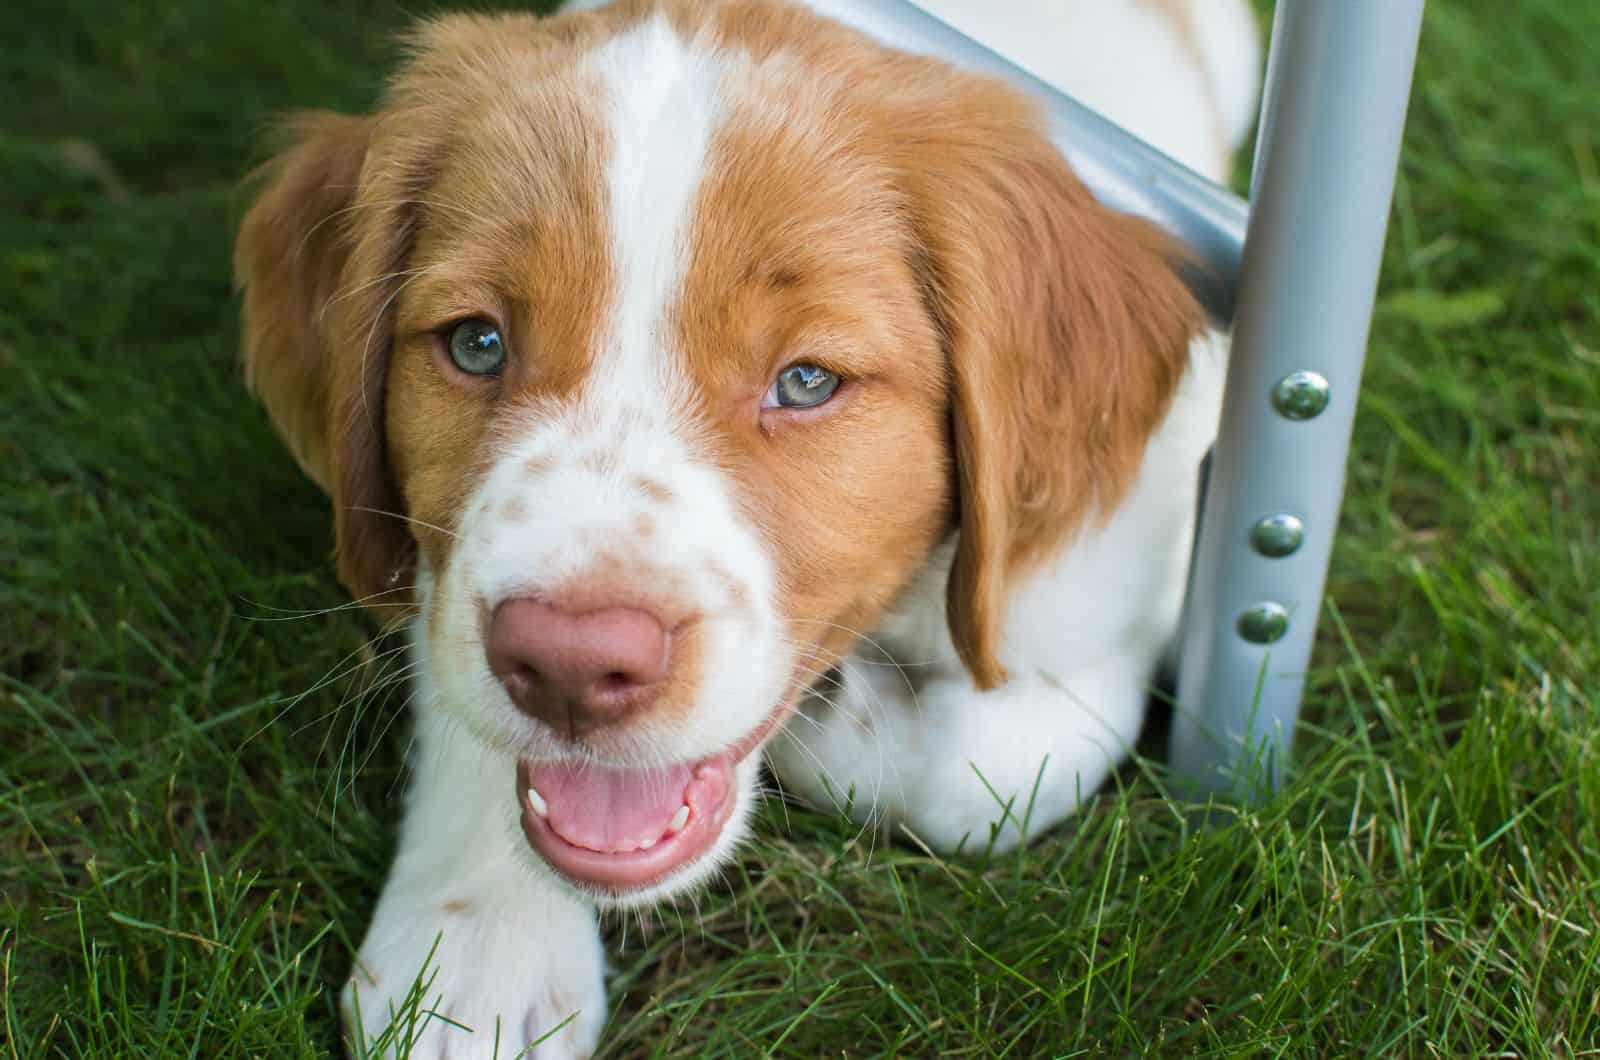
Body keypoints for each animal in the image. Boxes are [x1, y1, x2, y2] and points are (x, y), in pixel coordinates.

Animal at [233, 4, 1260, 1056]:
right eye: (477, 344)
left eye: (806, 381)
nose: (567, 665)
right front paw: (477, 942)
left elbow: (972, 780)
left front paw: (834, 721)